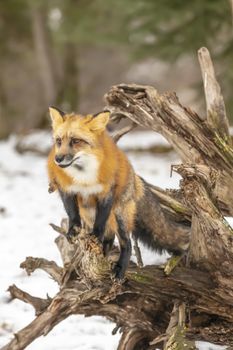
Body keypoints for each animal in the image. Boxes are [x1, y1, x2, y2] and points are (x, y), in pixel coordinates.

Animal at [46, 106, 189, 278]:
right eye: (59, 141)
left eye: (75, 141)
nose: (58, 159)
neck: (84, 178)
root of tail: (134, 178)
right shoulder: (67, 191)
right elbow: (72, 214)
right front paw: (73, 231)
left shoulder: (107, 193)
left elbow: (100, 224)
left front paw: (95, 236)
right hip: (89, 213)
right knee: (109, 237)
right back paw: (103, 255)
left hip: (119, 215)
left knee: (126, 243)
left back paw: (119, 269)